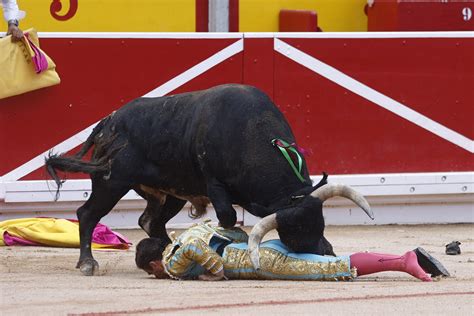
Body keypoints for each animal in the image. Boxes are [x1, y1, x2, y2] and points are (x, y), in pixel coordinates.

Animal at [44, 83, 370, 274]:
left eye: (321, 224)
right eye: (295, 231)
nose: (325, 253)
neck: (249, 131)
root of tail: (108, 121)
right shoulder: (215, 185)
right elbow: (227, 217)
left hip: (170, 192)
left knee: (149, 221)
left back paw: (161, 247)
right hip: (111, 181)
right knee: (87, 214)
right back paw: (87, 263)